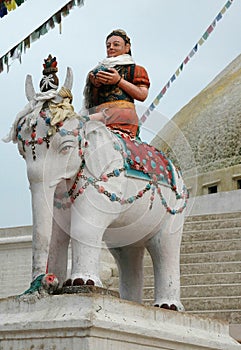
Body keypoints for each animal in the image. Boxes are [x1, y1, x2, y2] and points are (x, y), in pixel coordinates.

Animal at [4, 67, 187, 310]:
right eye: (22, 150)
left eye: (66, 148)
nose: (46, 281)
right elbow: (57, 233)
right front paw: (60, 285)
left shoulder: (103, 178)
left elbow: (85, 226)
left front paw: (81, 283)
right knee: (127, 252)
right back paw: (130, 302)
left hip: (176, 208)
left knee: (165, 247)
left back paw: (168, 307)